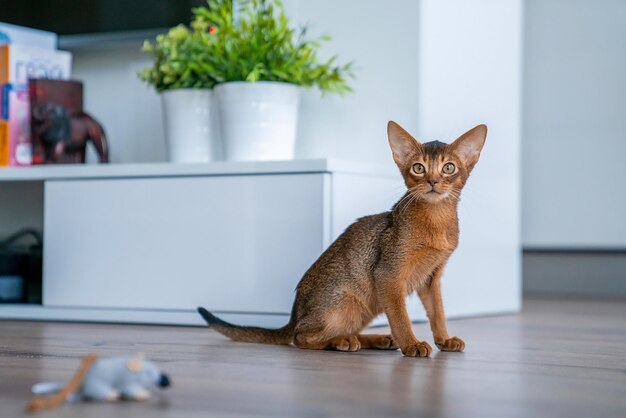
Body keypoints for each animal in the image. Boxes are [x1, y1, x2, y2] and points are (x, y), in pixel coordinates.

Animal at [197, 120, 486, 356]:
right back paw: (341, 342)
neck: (436, 221)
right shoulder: (388, 275)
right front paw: (412, 344)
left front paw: (444, 340)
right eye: (418, 168)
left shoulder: (431, 278)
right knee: (301, 338)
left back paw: (376, 340)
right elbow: (400, 317)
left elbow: (438, 312)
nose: (433, 181)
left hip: (363, 306)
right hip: (345, 301)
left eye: (448, 167)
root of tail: (294, 314)